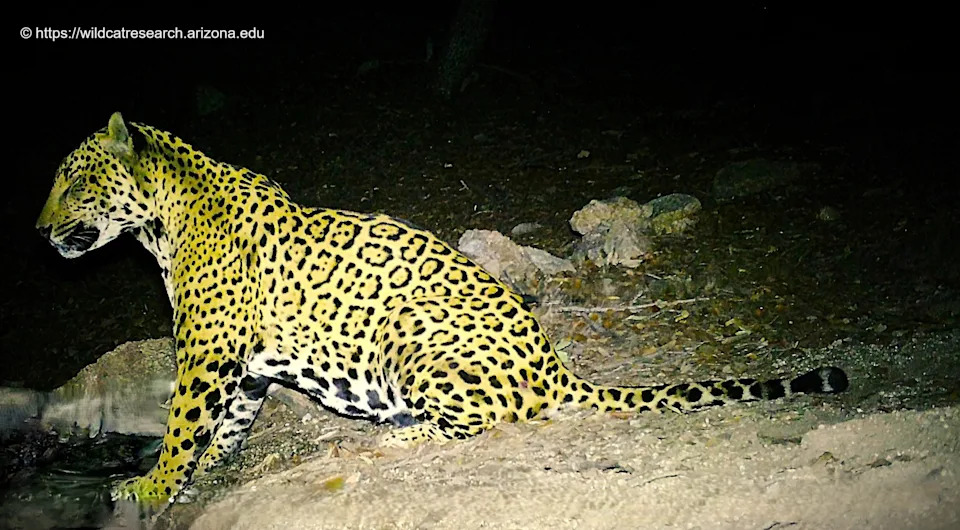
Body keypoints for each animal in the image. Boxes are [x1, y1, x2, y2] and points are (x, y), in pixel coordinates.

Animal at [35, 112, 849, 506]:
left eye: (74, 183)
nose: (39, 231)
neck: (161, 224)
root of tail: (558, 366)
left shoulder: (205, 355)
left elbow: (179, 431)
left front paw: (149, 486)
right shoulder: (244, 364)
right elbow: (227, 428)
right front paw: (204, 475)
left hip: (411, 329)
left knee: (480, 421)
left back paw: (396, 433)